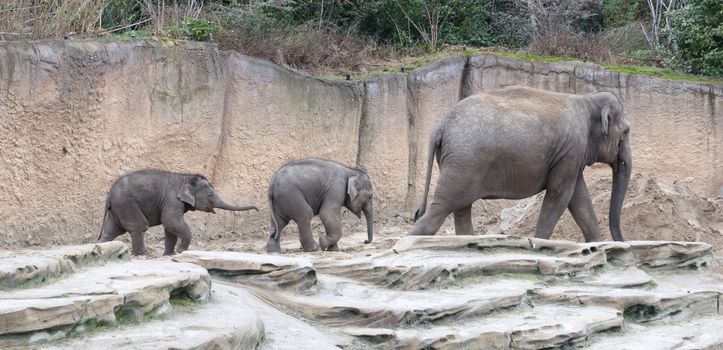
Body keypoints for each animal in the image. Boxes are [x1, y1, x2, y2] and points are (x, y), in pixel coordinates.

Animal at [97, 168, 258, 256]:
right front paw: (181, 251)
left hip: (118, 209)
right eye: (210, 194)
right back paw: (145, 255)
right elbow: (171, 221)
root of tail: (110, 194)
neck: (185, 176)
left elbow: (169, 227)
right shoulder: (172, 199)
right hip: (127, 205)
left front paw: (170, 254)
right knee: (139, 227)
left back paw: (101, 249)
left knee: (110, 231)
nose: (257, 209)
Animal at [410, 86, 632, 242]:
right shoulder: (571, 149)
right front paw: (540, 243)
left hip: (458, 161)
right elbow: (560, 193)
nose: (623, 241)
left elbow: (579, 197)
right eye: (626, 132)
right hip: (463, 161)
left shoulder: (569, 155)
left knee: (461, 207)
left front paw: (595, 243)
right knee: (442, 207)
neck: (587, 100)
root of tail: (440, 125)